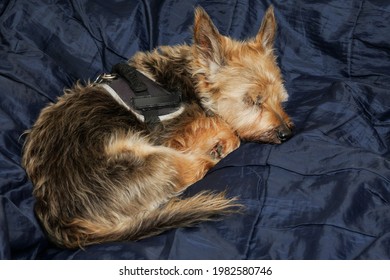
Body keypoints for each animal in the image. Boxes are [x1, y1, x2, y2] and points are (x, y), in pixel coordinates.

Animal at [20, 6, 290, 248]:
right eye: (253, 101)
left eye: (281, 98)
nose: (287, 133)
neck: (190, 81)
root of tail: (64, 223)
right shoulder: (182, 131)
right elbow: (225, 129)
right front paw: (221, 139)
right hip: (156, 160)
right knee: (196, 168)